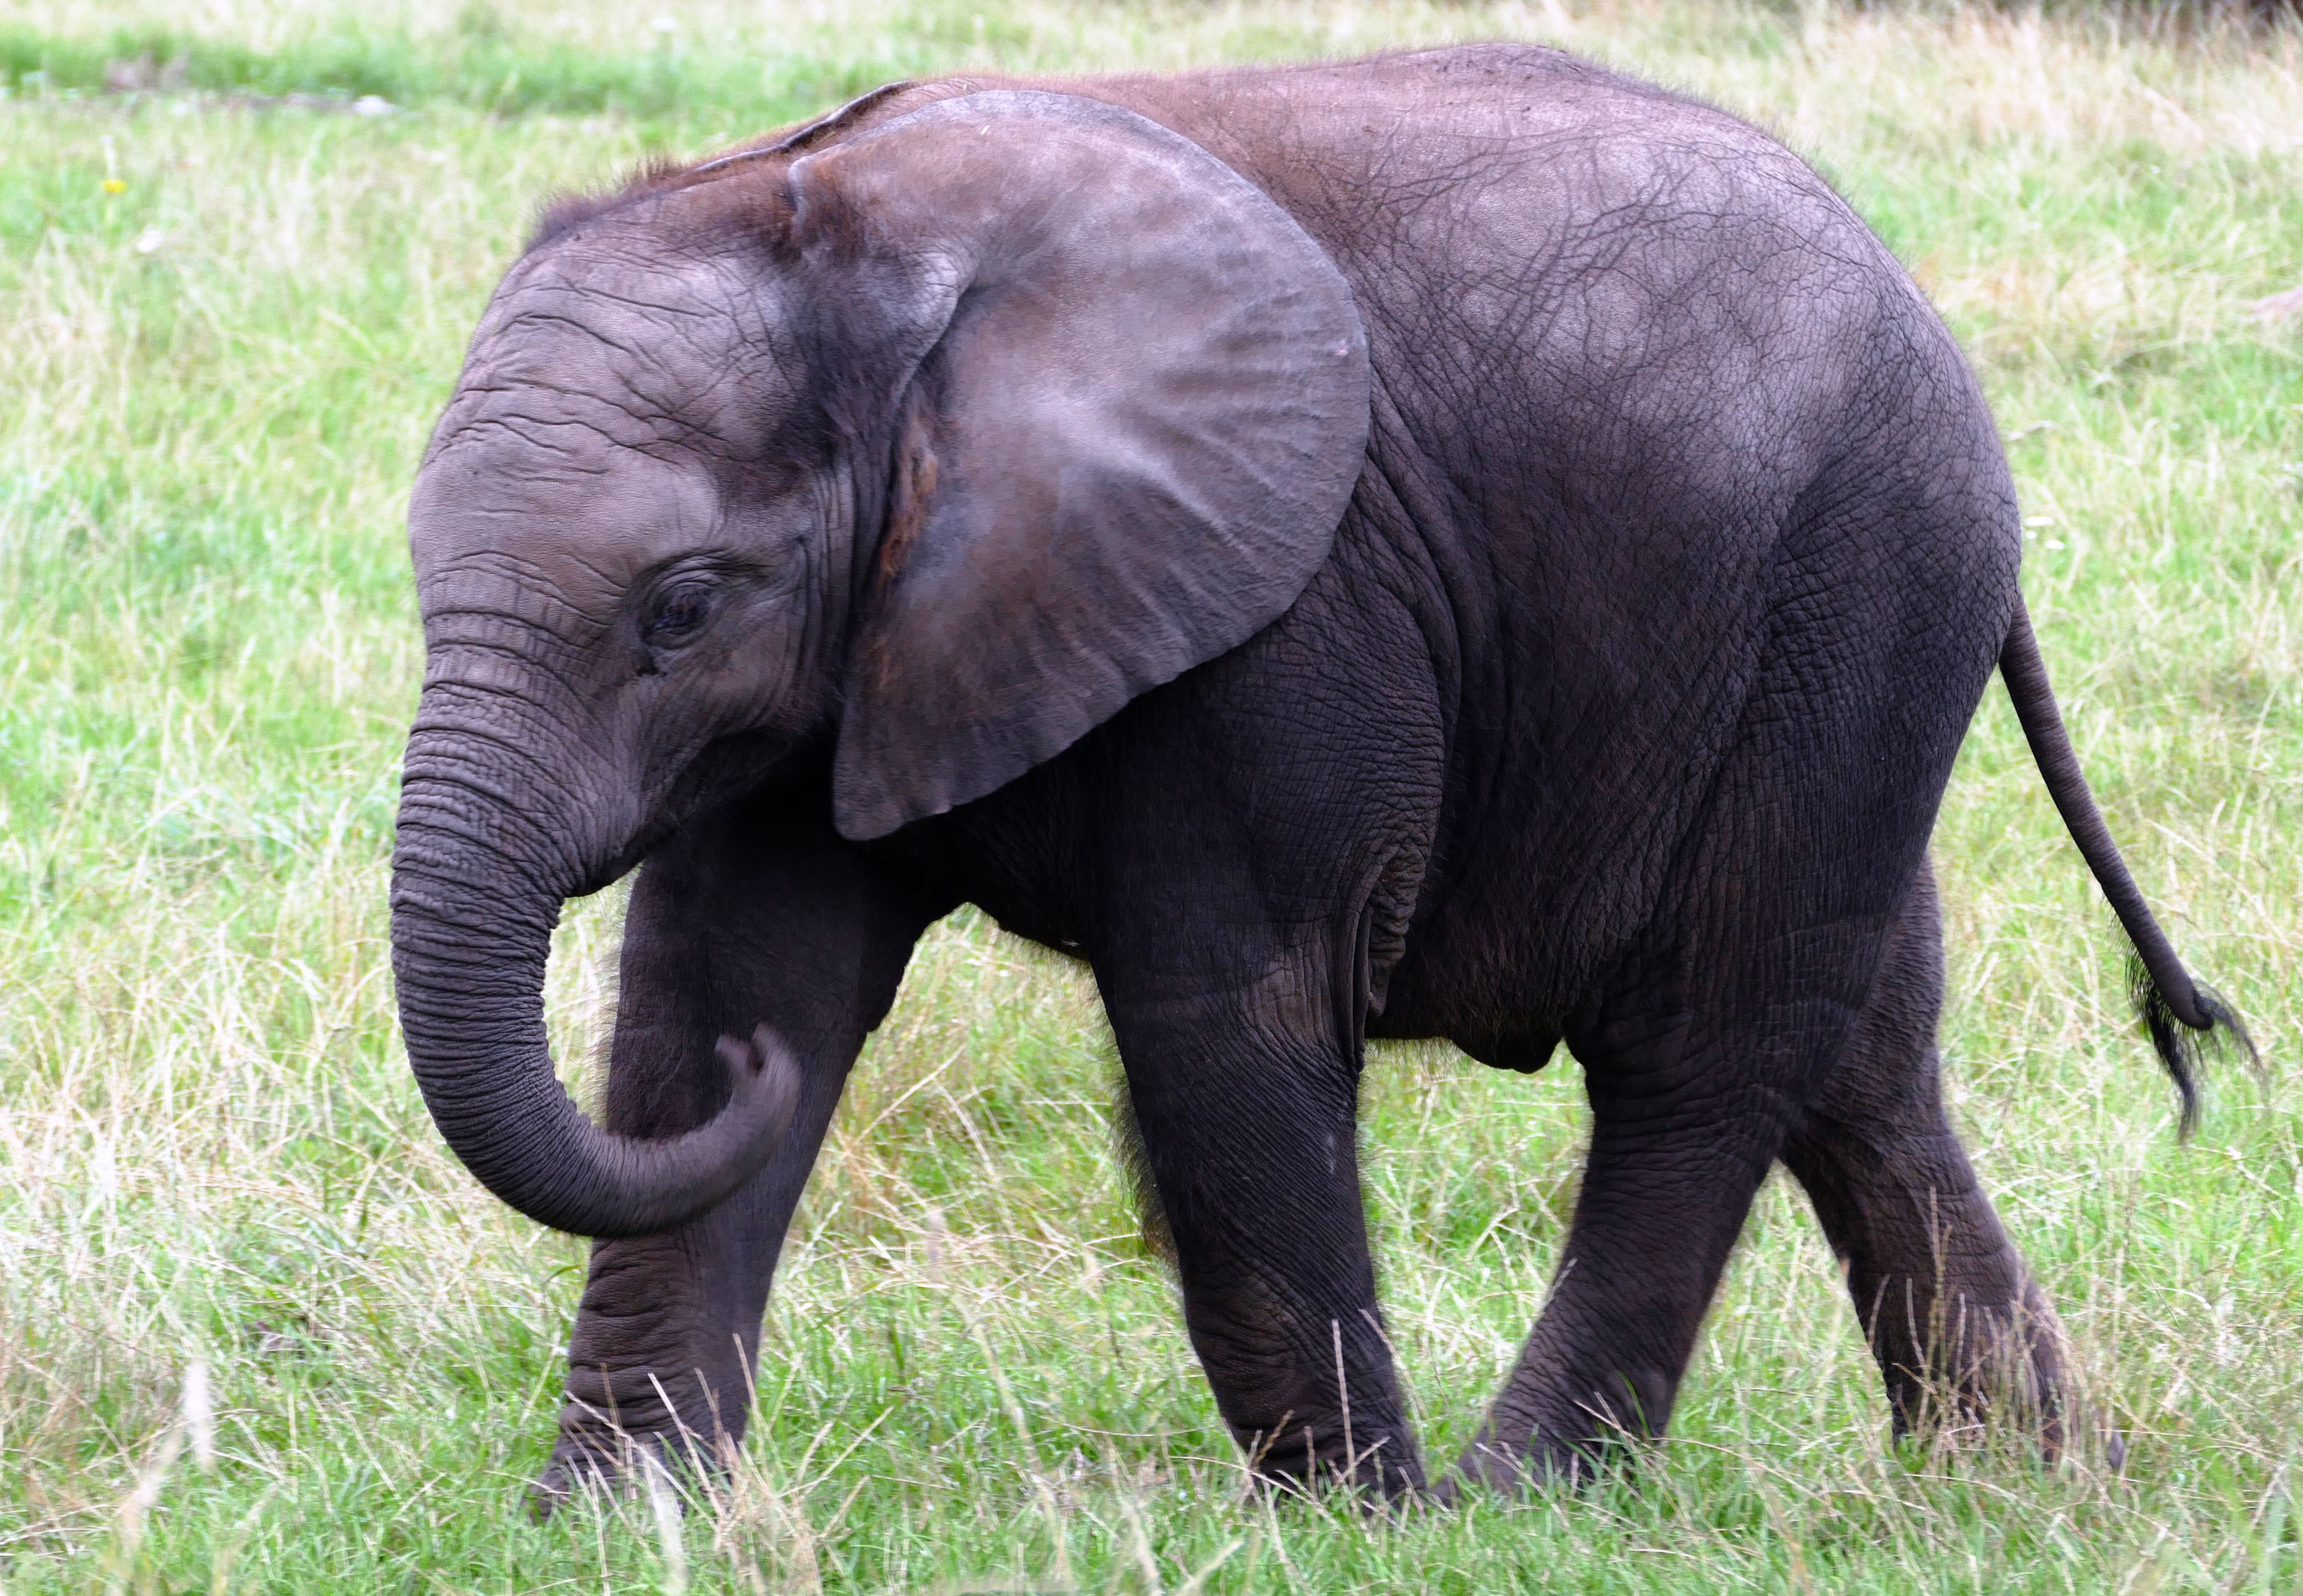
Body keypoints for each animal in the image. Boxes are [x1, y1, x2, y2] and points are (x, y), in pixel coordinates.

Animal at [396, 43, 2247, 1501]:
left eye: (680, 607)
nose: (763, 1082)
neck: (843, 234)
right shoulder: (859, 647)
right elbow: (730, 969)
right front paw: (619, 1518)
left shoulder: (1289, 612)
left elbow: (1229, 1013)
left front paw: (1353, 1520)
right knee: (1864, 1055)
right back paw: (2024, 1482)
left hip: (1853, 598)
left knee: (1707, 1052)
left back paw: (1517, 1498)